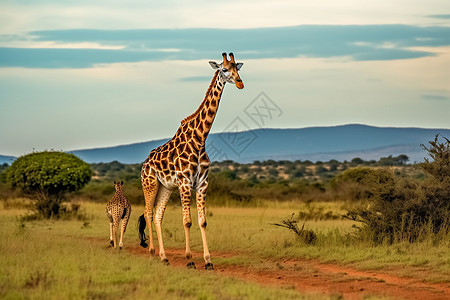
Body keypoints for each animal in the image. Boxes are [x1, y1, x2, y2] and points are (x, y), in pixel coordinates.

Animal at [138, 52, 244, 270]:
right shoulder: (185, 183)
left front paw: (208, 261)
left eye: (237, 69)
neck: (199, 140)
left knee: (157, 216)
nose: (240, 83)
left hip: (166, 187)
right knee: (147, 213)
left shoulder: (202, 183)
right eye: (224, 69)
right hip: (150, 184)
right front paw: (189, 260)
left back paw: (164, 257)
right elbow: (187, 221)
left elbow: (202, 221)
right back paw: (152, 253)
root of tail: (144, 164)